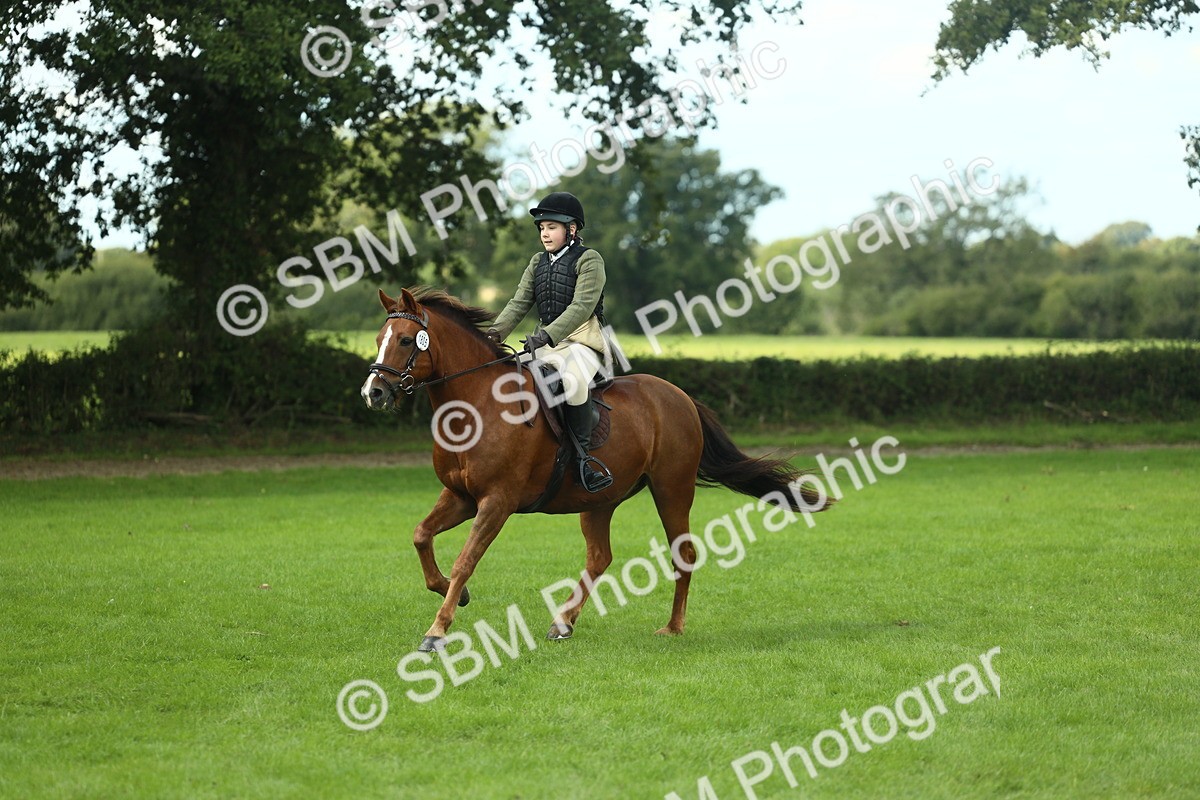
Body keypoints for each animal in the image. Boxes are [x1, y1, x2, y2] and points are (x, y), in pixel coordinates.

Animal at [360, 287, 831, 651]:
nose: (373, 393)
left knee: (683, 554)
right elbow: (421, 536)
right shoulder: (461, 496)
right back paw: (563, 622)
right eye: (380, 338)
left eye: (406, 341)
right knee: (600, 556)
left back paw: (672, 628)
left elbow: (465, 560)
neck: (476, 405)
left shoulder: (496, 502)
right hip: (600, 499)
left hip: (672, 489)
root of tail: (678, 396)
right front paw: (454, 598)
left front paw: (437, 631)